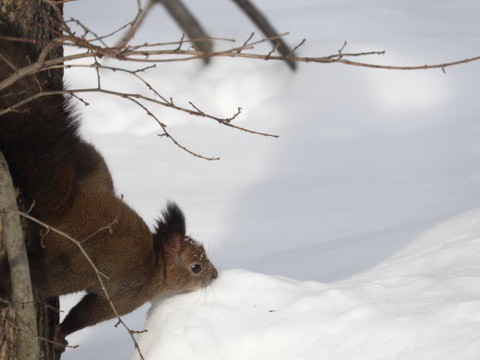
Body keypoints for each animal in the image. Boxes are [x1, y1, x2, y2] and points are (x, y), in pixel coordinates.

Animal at [0, 19, 218, 352]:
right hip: (67, 266)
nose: (215, 275)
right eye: (196, 267)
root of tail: (65, 206)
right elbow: (87, 314)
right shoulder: (125, 295)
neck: (156, 266)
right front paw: (60, 335)